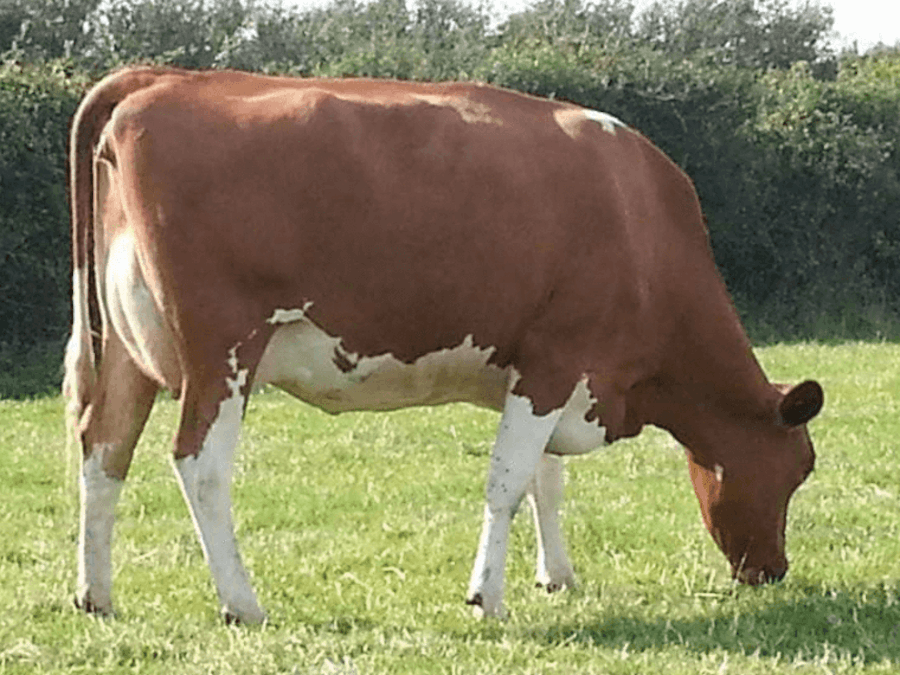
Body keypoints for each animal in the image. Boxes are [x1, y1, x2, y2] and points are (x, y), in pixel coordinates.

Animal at [64, 66, 823, 624]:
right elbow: (509, 481)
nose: (773, 572)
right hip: (222, 352)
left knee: (104, 449)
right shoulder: (555, 358)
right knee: (199, 465)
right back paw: (242, 603)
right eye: (798, 470)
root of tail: (162, 77)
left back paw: (95, 595)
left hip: (128, 352)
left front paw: (556, 575)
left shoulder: (540, 370)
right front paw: (488, 597)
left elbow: (547, 479)